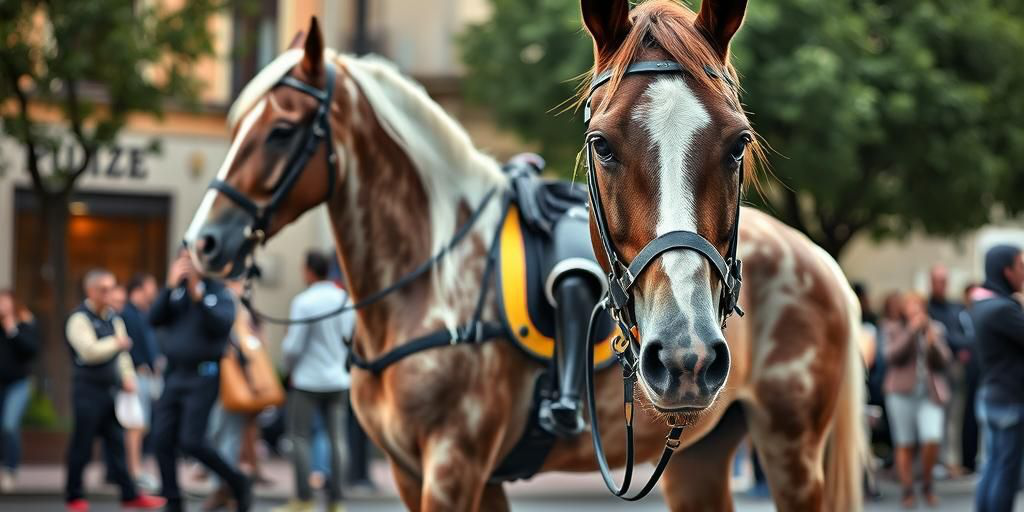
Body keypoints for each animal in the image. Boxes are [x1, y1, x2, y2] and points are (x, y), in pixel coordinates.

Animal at [182, 1, 864, 510]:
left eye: (281, 131)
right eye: (601, 144)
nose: (204, 241)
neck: (433, 277)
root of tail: (819, 258)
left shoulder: (452, 466)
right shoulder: (427, 473)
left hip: (791, 449)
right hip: (699, 456)